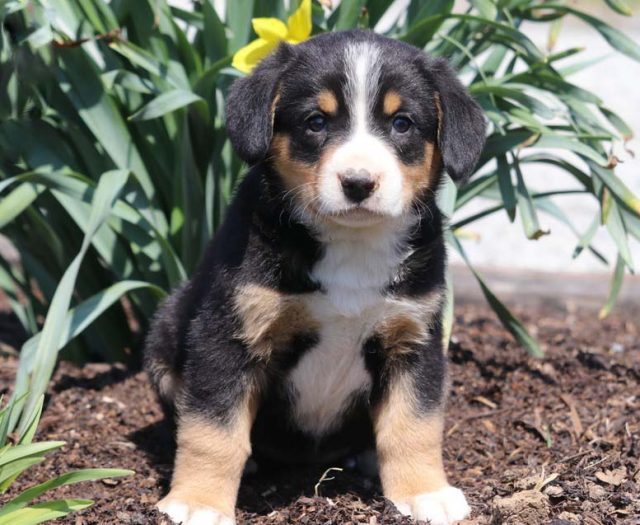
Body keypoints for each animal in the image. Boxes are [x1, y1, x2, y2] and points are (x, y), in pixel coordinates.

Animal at [145, 27, 484, 524]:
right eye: (315, 122)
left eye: (402, 124)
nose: (358, 183)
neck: (352, 246)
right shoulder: (227, 335)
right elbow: (213, 429)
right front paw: (198, 501)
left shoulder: (414, 337)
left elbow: (414, 424)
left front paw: (425, 493)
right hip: (165, 333)